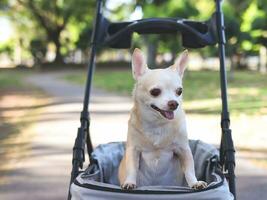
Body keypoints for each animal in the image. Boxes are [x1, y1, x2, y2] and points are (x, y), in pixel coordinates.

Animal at [118, 48, 208, 191]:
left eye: (179, 91)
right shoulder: (133, 150)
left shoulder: (184, 150)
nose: (174, 103)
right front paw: (129, 182)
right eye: (155, 92)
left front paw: (195, 182)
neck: (158, 124)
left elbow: (189, 169)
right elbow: (131, 169)